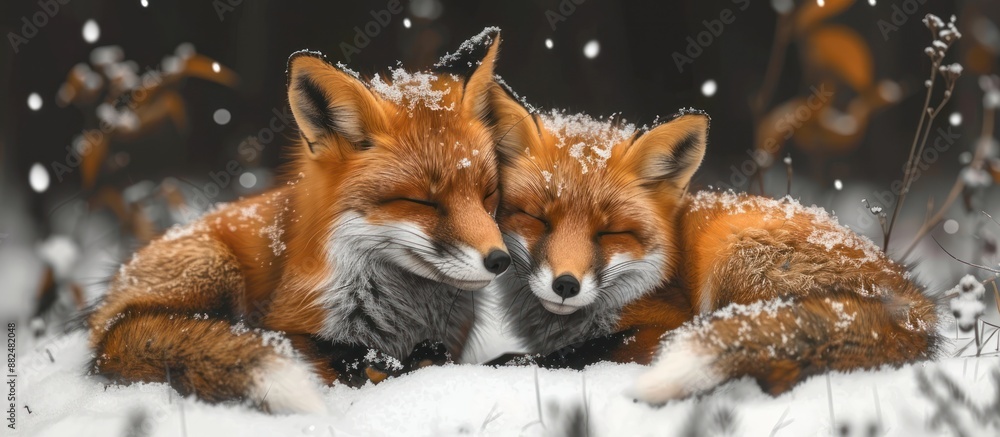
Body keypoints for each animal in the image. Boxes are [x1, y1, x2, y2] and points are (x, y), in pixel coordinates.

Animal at [86, 29, 511, 413]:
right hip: (216, 267)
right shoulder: (290, 326)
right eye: (422, 201)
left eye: (488, 194)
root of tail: (104, 332)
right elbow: (338, 359)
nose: (500, 260)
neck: (406, 314)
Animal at [484, 85, 940, 404]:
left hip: (730, 253)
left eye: (610, 233)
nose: (566, 285)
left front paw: (508, 364)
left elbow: (588, 350)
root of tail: (917, 307)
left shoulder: (664, 325)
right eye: (537, 219)